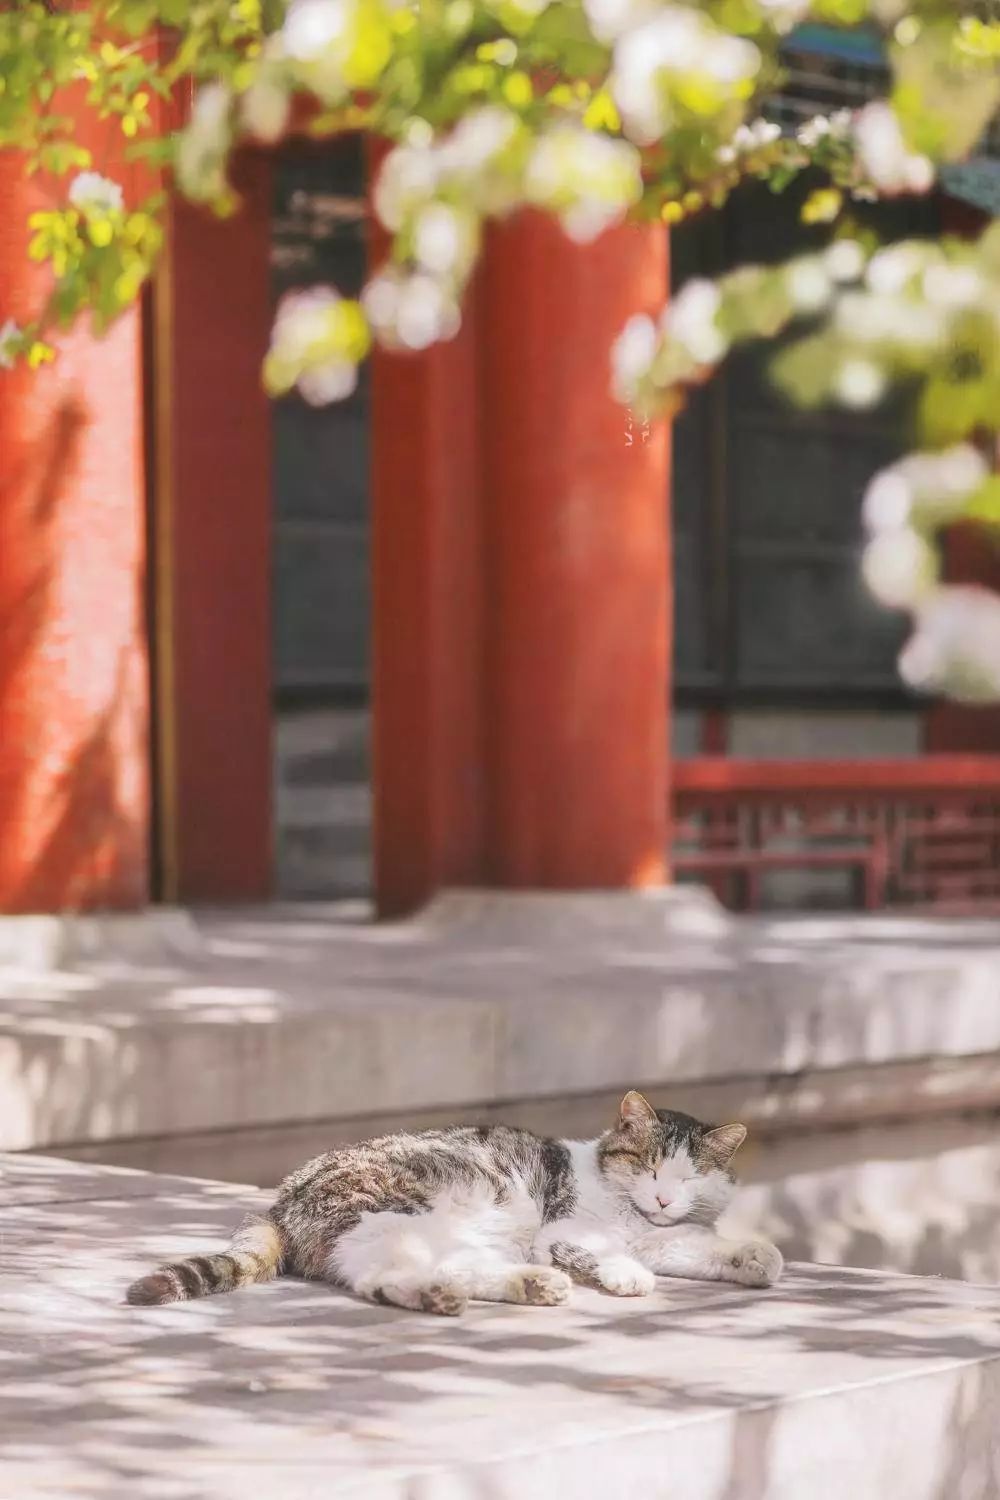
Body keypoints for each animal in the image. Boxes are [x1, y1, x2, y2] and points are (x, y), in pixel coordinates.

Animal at [125, 1092, 779, 1314]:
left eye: (690, 1177)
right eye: (647, 1167)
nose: (664, 1197)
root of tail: (283, 1197)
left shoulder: (661, 1235)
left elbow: (692, 1243)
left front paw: (754, 1256)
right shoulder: (562, 1231)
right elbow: (605, 1252)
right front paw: (627, 1276)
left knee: (399, 1276)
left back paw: (508, 1288)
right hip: (399, 1215)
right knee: (395, 1274)